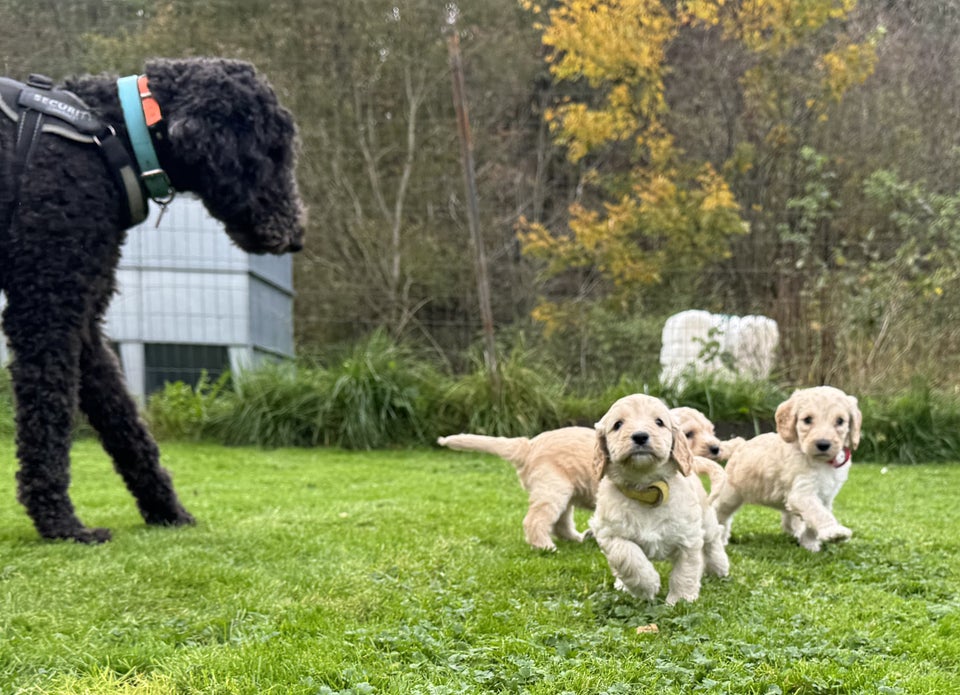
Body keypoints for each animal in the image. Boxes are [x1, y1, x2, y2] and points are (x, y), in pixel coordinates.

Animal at [0, 57, 304, 540]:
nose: (297, 237)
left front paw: (169, 509)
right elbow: (49, 419)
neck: (120, 128)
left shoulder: (84, 319)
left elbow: (125, 422)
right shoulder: (46, 308)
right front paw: (62, 523)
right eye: (271, 152)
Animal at [588, 396, 732, 604]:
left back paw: (720, 567)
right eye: (618, 424)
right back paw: (623, 585)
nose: (640, 436)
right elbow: (627, 556)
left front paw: (680, 600)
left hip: (706, 519)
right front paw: (647, 585)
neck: (646, 488)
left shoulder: (688, 536)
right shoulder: (609, 533)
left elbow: (685, 570)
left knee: (713, 540)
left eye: (659, 422)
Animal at [712, 386, 864, 556]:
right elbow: (818, 512)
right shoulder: (802, 492)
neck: (821, 462)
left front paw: (809, 543)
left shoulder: (825, 496)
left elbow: (814, 517)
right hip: (730, 494)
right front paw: (834, 532)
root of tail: (740, 444)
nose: (823, 444)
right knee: (721, 513)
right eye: (807, 420)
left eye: (840, 421)